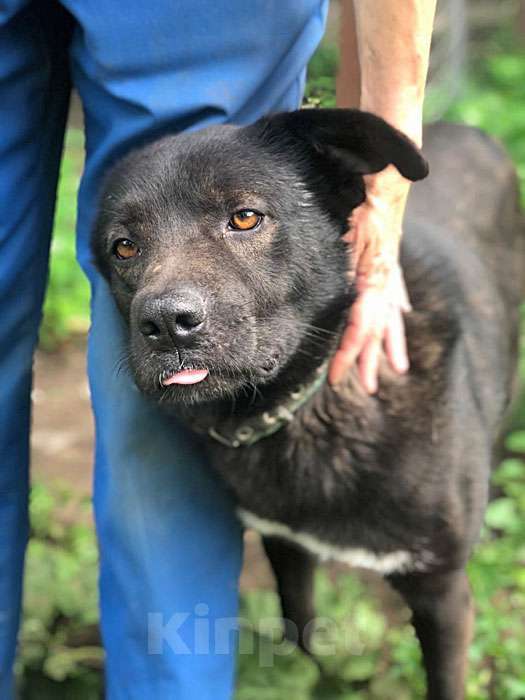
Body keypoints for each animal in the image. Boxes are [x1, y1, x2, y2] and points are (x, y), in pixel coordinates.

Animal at [92, 112, 520, 696]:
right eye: (124, 247)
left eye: (245, 217)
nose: (165, 324)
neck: (301, 409)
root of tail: (469, 129)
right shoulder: (285, 547)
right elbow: (301, 632)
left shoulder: (443, 593)